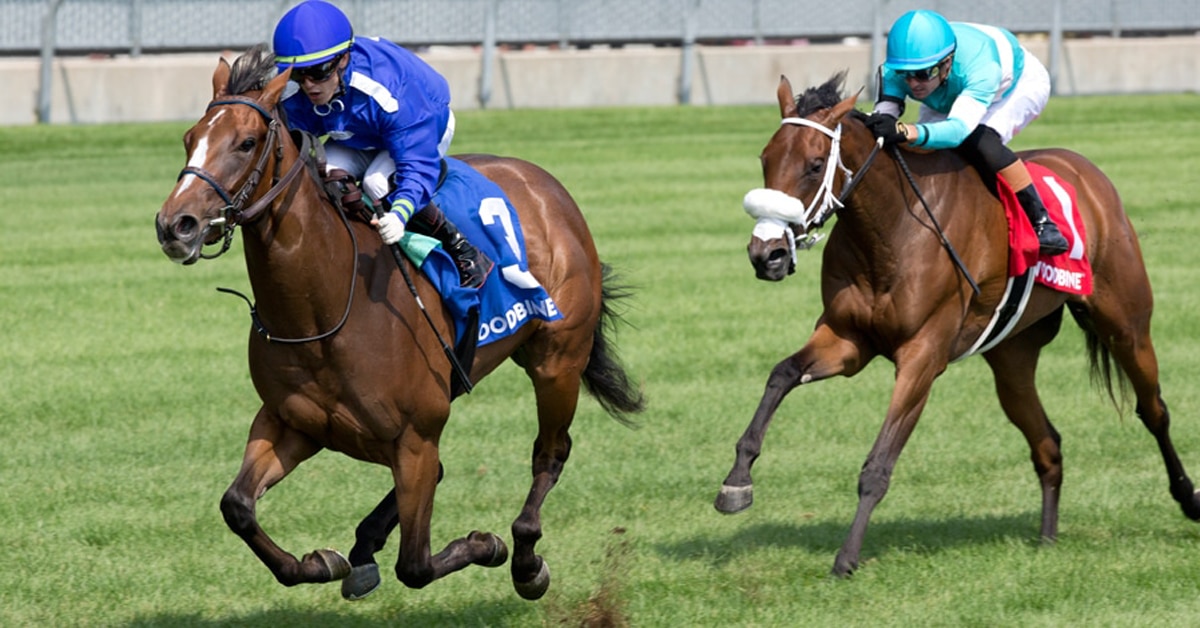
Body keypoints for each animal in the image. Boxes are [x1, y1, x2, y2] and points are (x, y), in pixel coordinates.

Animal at [154, 47, 644, 601]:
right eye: (190, 138)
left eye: (246, 142)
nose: (175, 225)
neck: (324, 309)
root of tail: (548, 188)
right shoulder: (290, 422)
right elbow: (237, 506)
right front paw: (321, 562)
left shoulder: (416, 438)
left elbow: (416, 564)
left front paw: (486, 545)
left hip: (557, 359)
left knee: (551, 452)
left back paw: (525, 560)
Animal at [713, 73, 1200, 577]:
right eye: (765, 159)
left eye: (813, 165)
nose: (767, 254)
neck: (889, 230)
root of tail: (1087, 172)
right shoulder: (848, 340)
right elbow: (782, 374)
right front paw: (736, 483)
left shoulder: (922, 356)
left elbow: (878, 465)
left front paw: (846, 558)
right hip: (1012, 357)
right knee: (1047, 443)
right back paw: (1047, 539)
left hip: (1126, 323)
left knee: (1154, 410)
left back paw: (1189, 499)